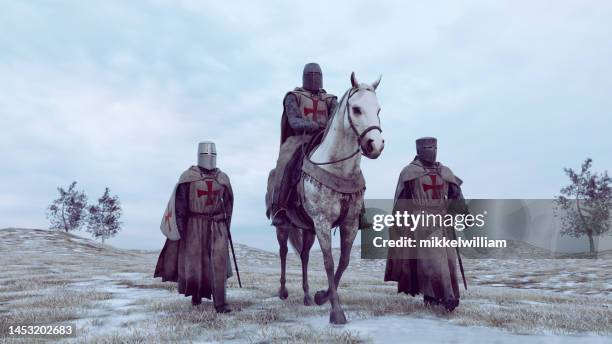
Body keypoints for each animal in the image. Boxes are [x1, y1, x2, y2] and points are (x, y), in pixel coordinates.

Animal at [300, 72, 382, 322]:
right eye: (356, 109)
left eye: (378, 109)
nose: (376, 145)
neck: (339, 170)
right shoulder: (322, 222)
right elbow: (328, 262)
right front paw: (336, 311)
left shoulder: (350, 223)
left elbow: (343, 262)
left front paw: (322, 296)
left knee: (304, 256)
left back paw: (307, 296)